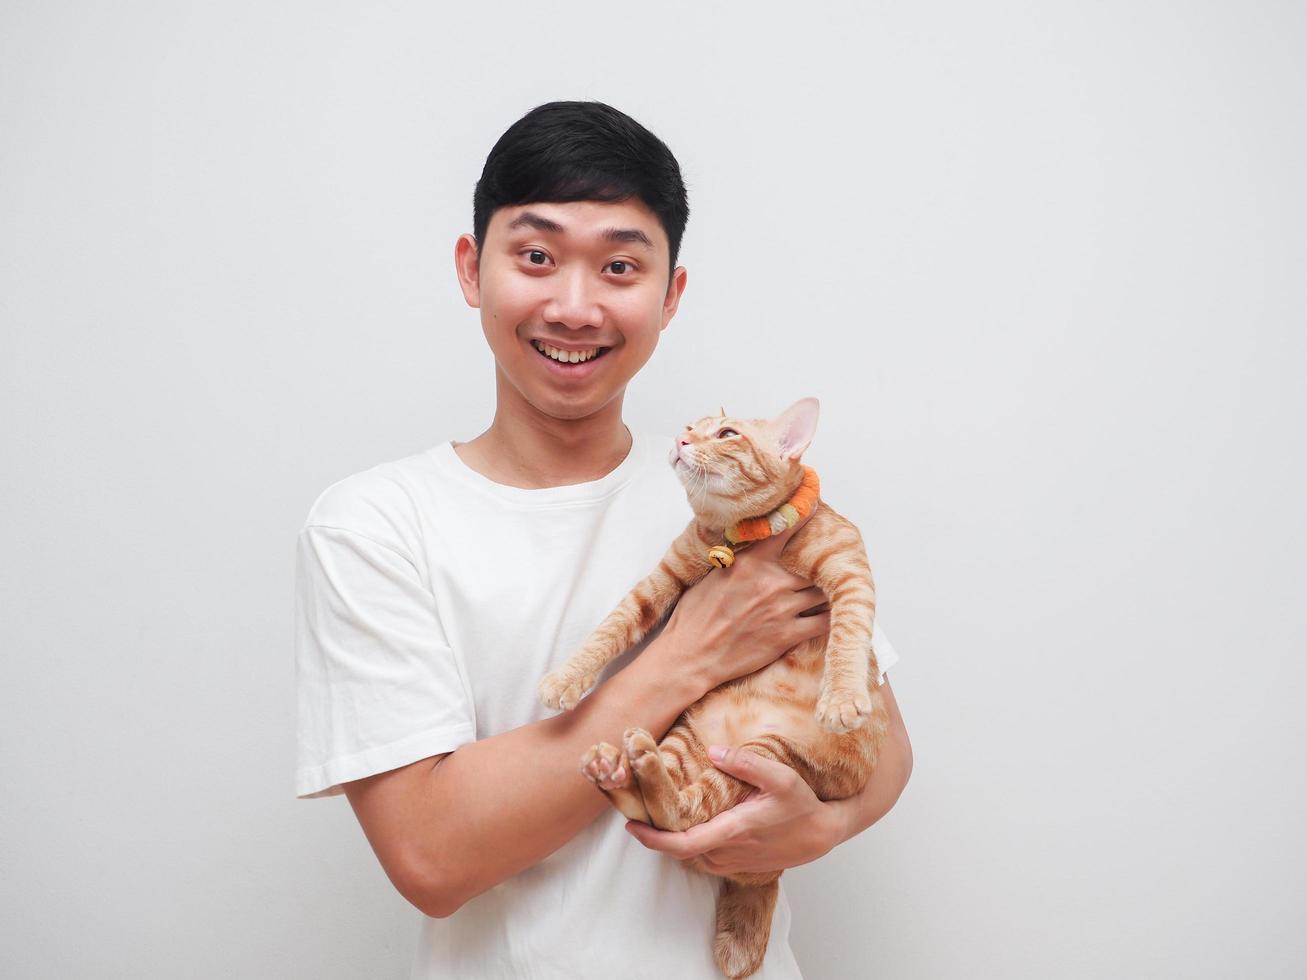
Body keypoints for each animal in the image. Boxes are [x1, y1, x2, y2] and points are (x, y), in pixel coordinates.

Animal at [533, 399, 888, 980]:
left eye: (725, 434)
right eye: (690, 426)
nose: (681, 441)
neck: (734, 536)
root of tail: (767, 872)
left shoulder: (848, 569)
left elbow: (849, 633)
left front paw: (840, 698)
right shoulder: (659, 583)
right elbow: (610, 627)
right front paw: (567, 677)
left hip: (769, 757)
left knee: (684, 814)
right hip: (690, 736)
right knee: (665, 813)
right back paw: (618, 771)